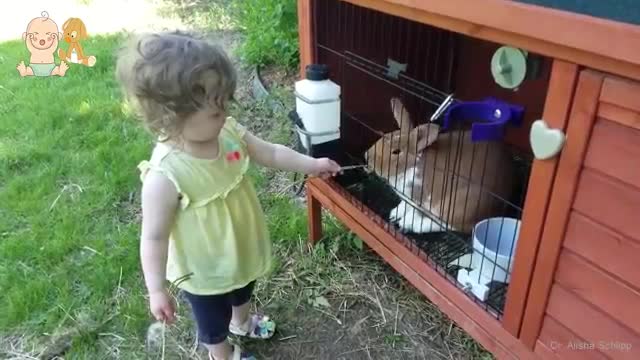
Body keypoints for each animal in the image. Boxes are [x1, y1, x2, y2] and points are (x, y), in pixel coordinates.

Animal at [368, 98, 512, 233]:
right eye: (385, 136)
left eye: (396, 152)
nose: (367, 156)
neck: (412, 165)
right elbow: (405, 205)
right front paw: (395, 213)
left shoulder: (422, 197)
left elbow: (416, 210)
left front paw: (406, 220)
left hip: (458, 205)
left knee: (446, 225)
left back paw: (409, 224)